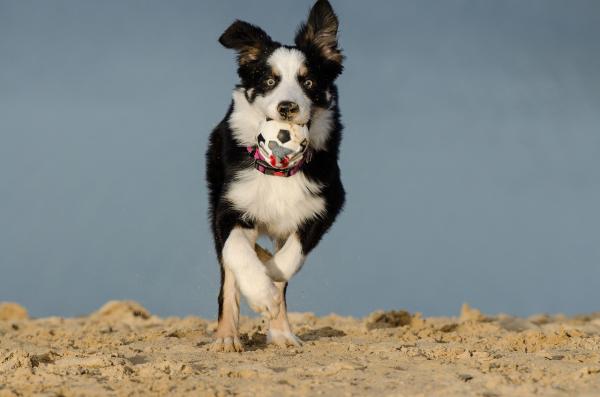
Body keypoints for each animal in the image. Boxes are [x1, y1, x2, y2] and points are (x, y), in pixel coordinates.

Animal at [206, 0, 344, 352]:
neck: (278, 172)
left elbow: (291, 257)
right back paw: (227, 337)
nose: (287, 107)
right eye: (270, 81)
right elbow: (236, 252)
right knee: (228, 275)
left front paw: (270, 276)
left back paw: (282, 333)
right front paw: (260, 291)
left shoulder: (326, 203)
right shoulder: (229, 206)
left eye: (308, 83)